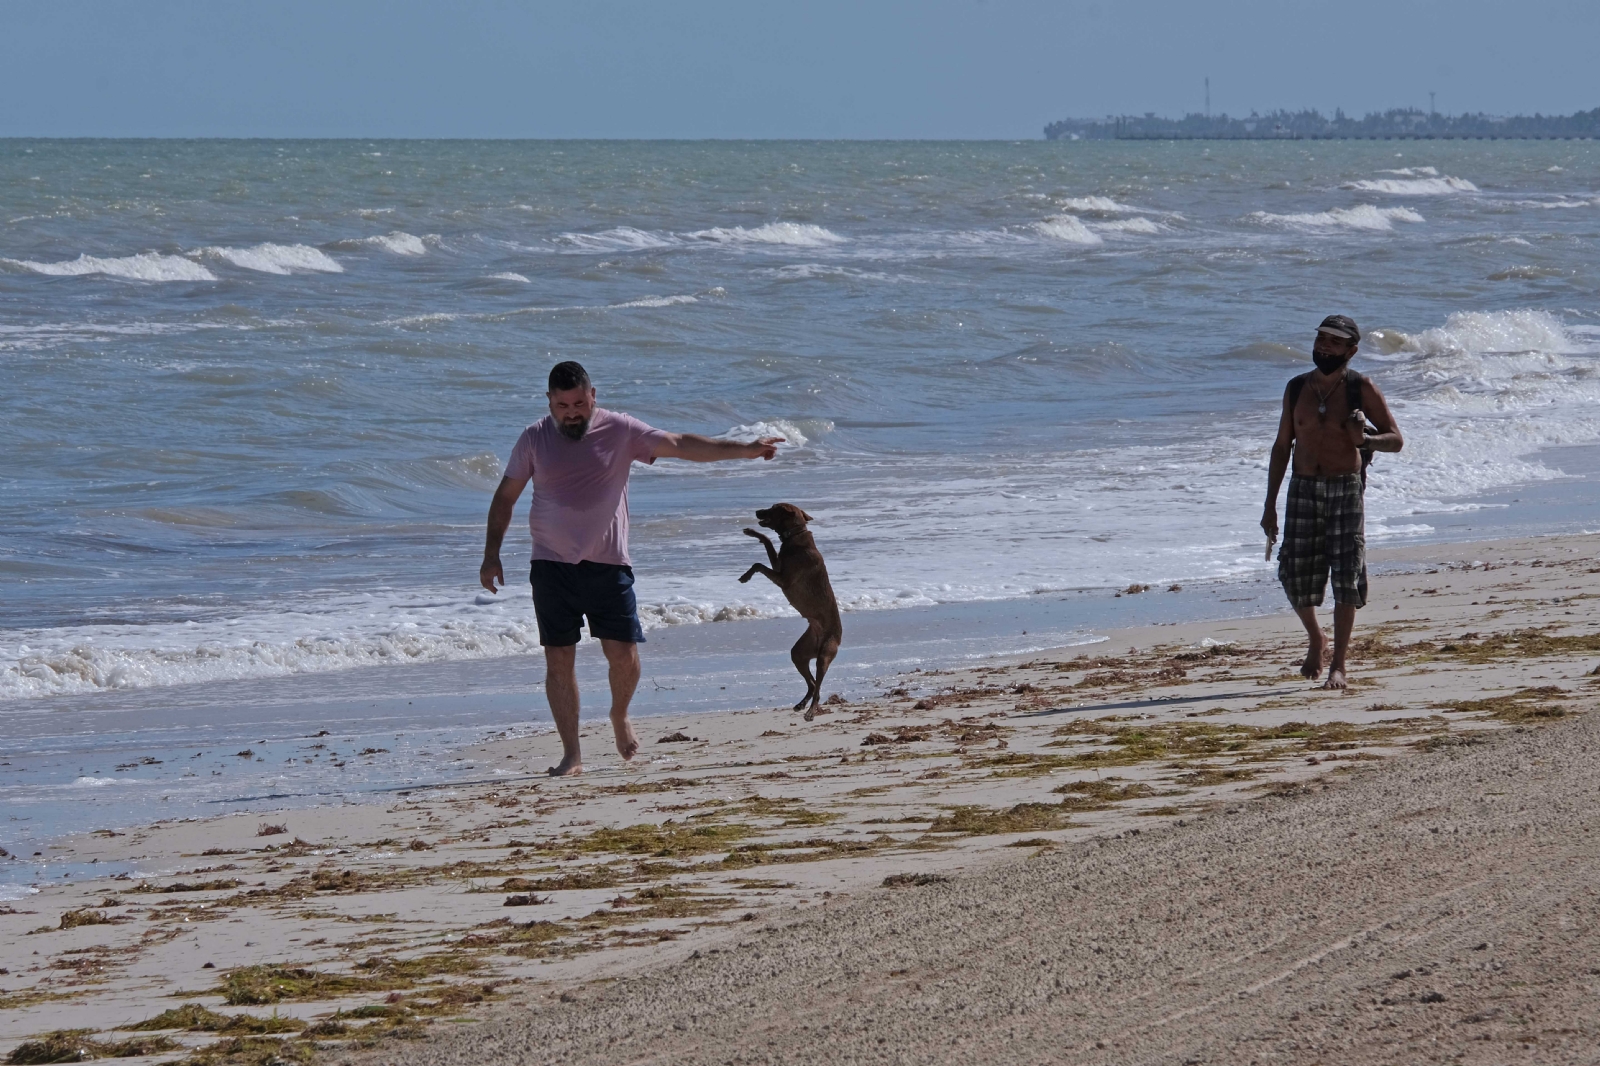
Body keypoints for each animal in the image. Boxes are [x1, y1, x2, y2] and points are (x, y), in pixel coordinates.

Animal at [732, 502, 838, 717]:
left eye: (773, 508)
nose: (757, 511)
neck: (795, 535)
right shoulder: (778, 567)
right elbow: (767, 546)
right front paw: (753, 533)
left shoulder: (784, 579)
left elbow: (759, 564)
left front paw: (746, 576)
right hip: (799, 653)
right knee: (812, 684)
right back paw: (801, 704)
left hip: (824, 655)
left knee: (818, 685)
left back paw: (811, 710)